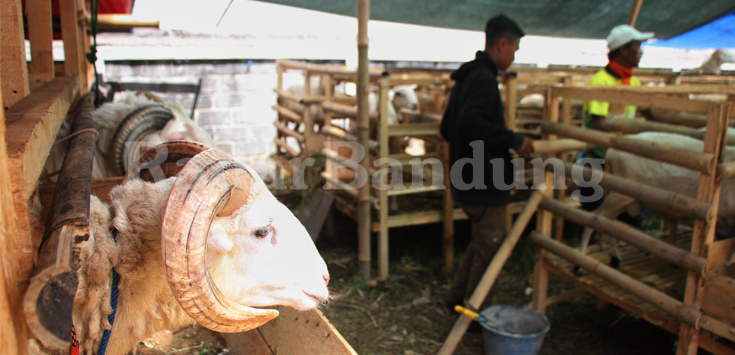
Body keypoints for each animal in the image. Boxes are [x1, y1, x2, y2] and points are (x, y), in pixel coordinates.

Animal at [580, 132, 735, 268]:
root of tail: (611, 152)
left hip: (624, 197)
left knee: (608, 221)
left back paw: (615, 258)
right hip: (621, 194)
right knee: (596, 217)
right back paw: (581, 263)